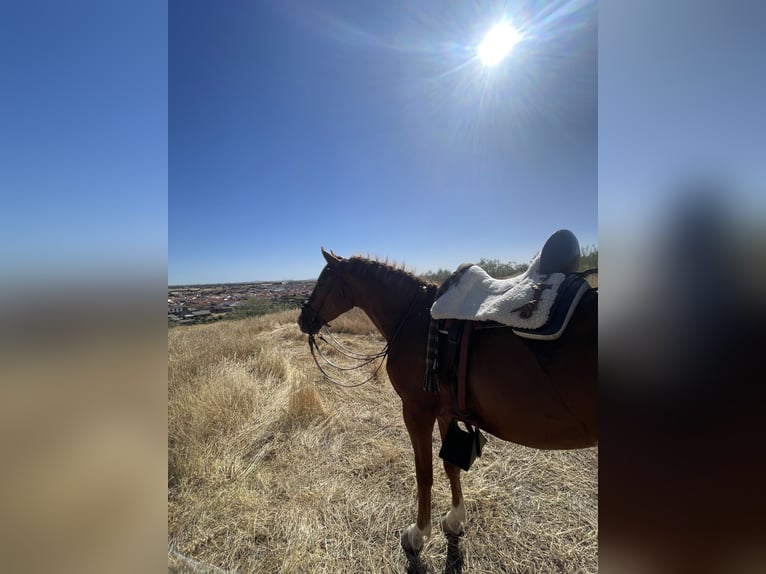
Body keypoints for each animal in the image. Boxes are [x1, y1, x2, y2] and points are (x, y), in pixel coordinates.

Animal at [297, 247, 597, 557]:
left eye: (323, 280)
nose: (303, 318)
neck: (414, 318)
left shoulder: (416, 413)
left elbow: (424, 473)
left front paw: (419, 533)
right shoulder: (445, 411)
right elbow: (451, 466)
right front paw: (455, 517)